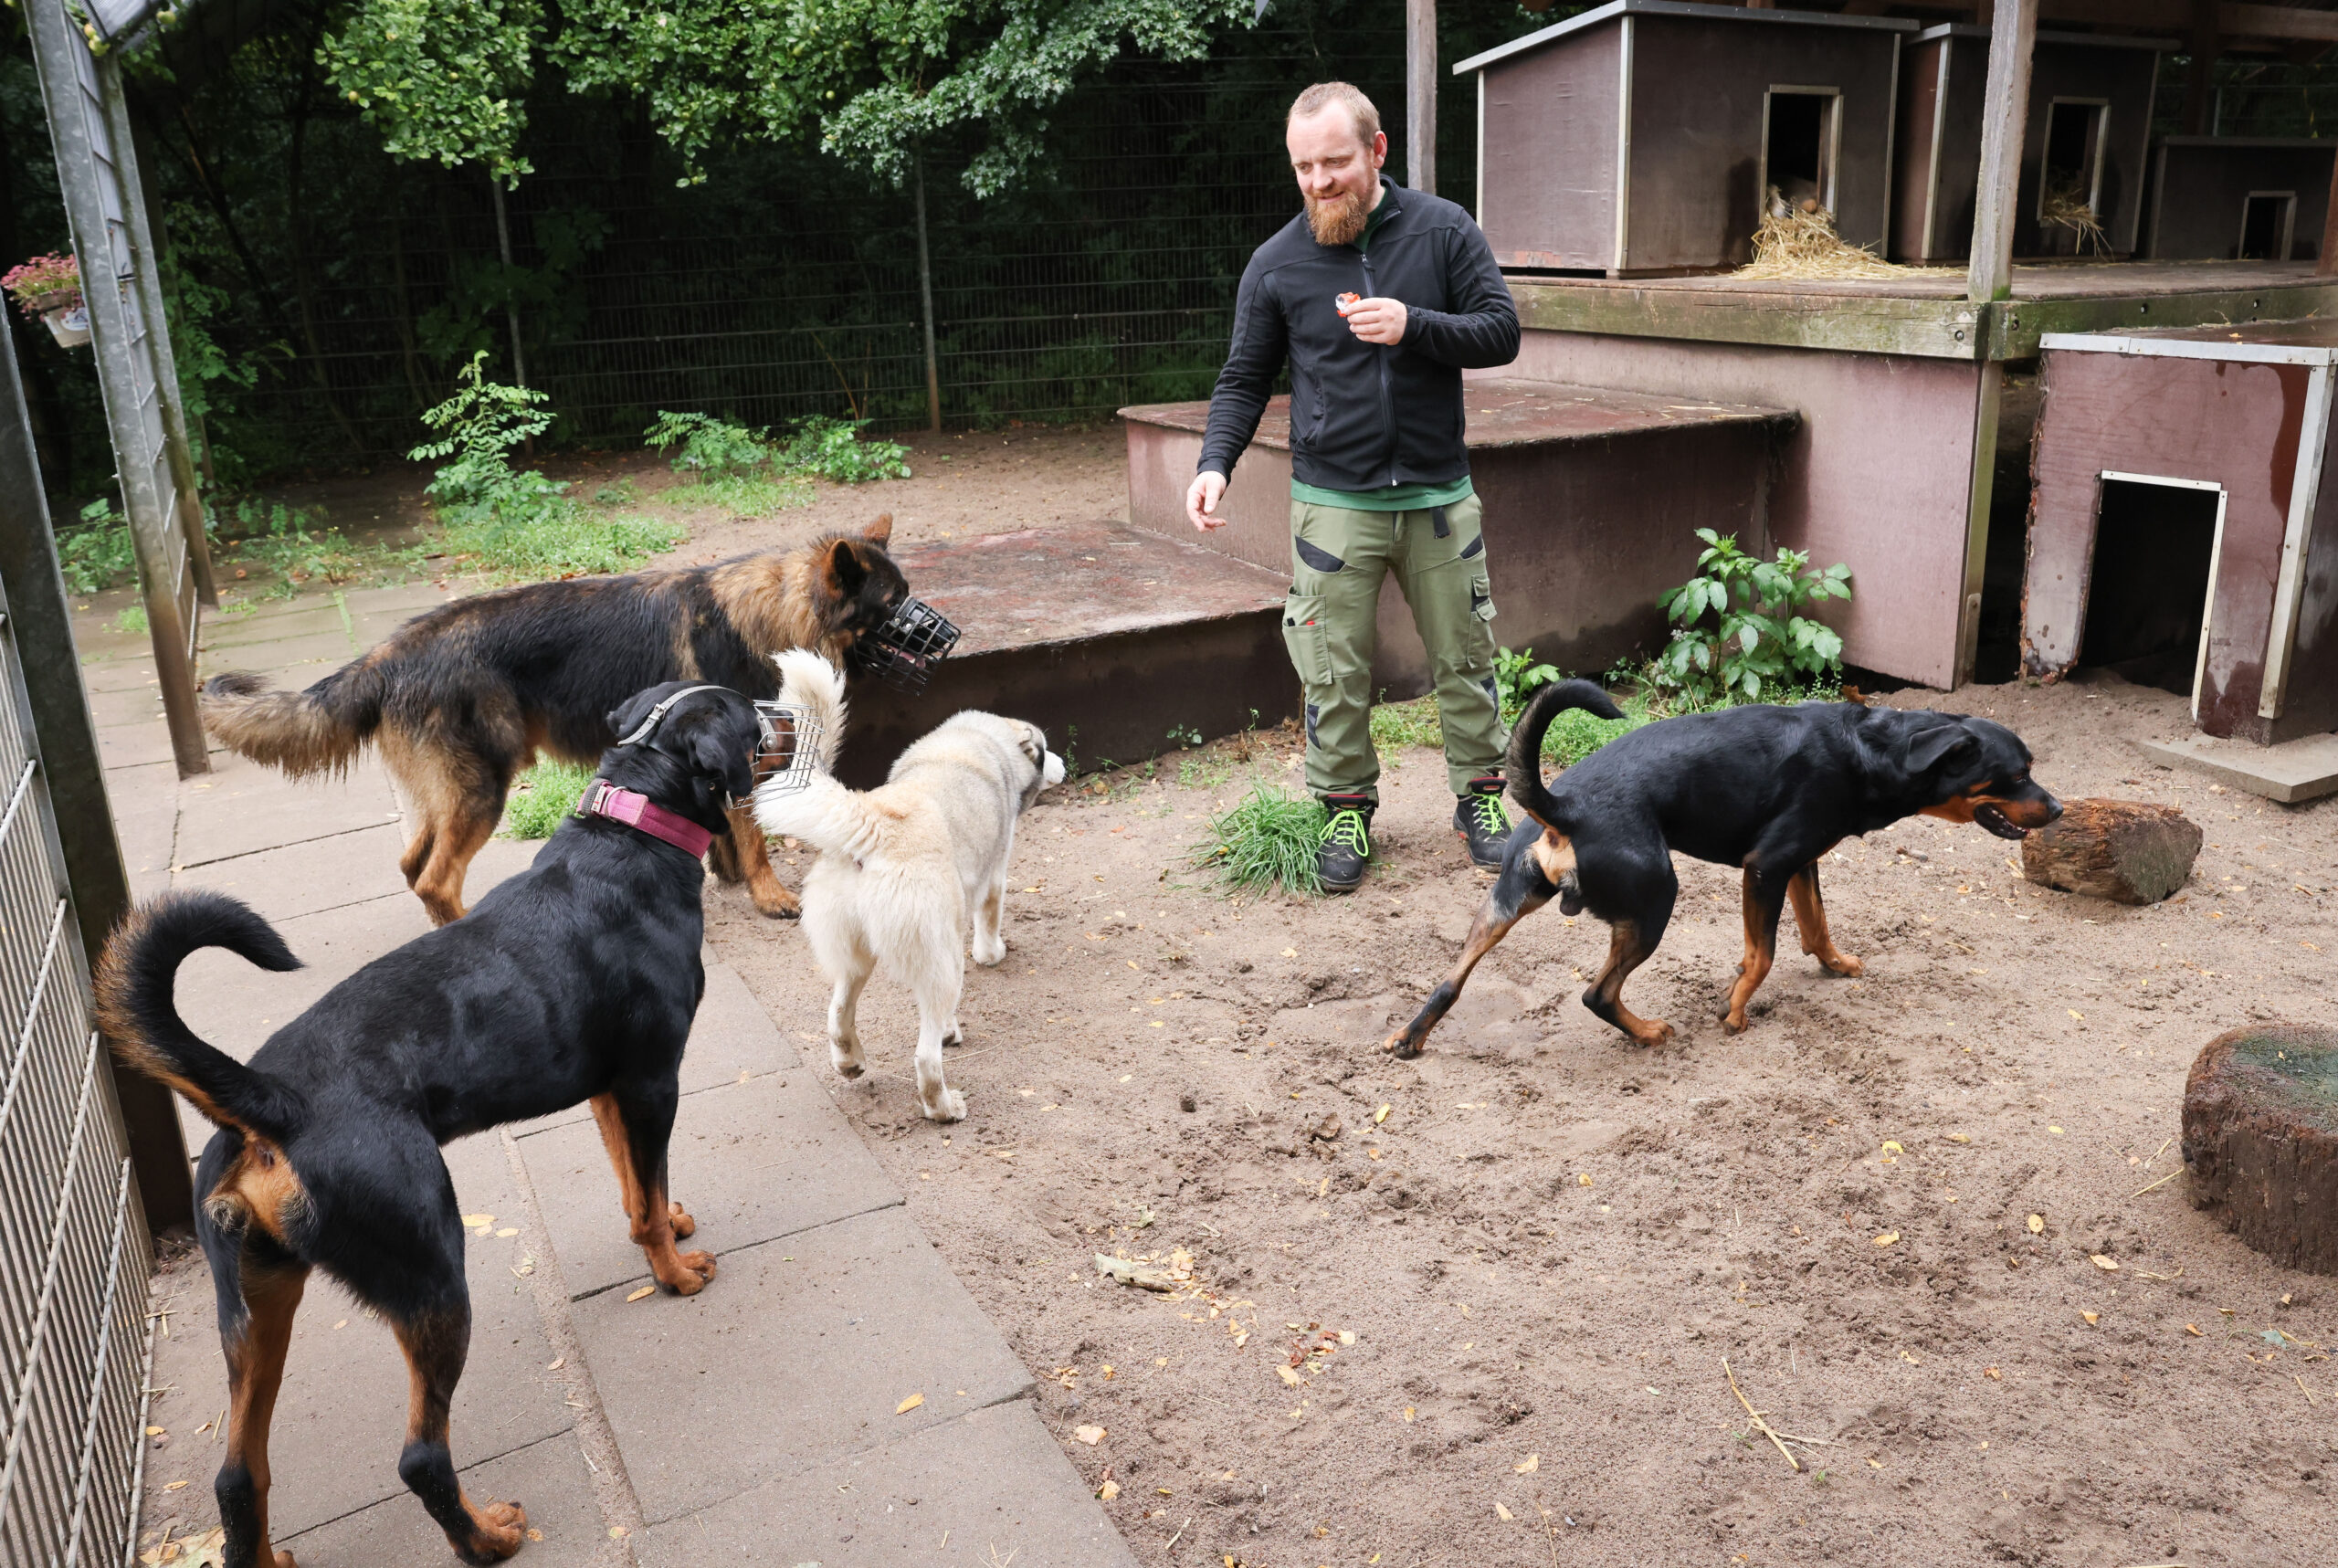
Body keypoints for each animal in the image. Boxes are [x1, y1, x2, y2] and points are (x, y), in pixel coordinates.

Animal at [102, 682, 757, 1568]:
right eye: (750, 716)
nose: (783, 703)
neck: (632, 827)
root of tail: (272, 1099)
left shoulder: (609, 1090)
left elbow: (635, 1183)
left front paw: (667, 1229)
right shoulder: (654, 1079)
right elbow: (648, 1193)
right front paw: (675, 1274)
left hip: (256, 1304)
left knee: (239, 1474)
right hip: (432, 1274)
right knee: (420, 1454)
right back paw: (488, 1537)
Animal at [203, 521, 911, 925]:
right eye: (893, 603)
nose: (934, 638)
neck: (772, 608)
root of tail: (391, 651)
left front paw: (727, 873)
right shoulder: (738, 756)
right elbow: (754, 836)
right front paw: (768, 894)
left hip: (447, 792)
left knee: (412, 862)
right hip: (482, 790)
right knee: (434, 877)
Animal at [753, 654, 1066, 1121]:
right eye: (1045, 750)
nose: (1062, 764)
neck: (972, 743)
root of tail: (874, 819)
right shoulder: (993, 878)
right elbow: (989, 927)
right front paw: (993, 956)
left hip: (855, 957)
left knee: (838, 1015)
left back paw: (850, 1062)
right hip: (942, 965)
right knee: (925, 1057)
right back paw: (943, 1107)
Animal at [1384, 678, 2067, 1056]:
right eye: (2016, 775)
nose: (2060, 807)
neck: (1871, 749)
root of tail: (1563, 806)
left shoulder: (1799, 863)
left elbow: (1816, 928)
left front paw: (1836, 965)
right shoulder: (1765, 867)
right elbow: (1762, 955)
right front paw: (1735, 1010)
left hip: (1504, 905)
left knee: (1451, 980)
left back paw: (1409, 1038)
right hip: (1656, 901)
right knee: (1597, 993)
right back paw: (1648, 1032)